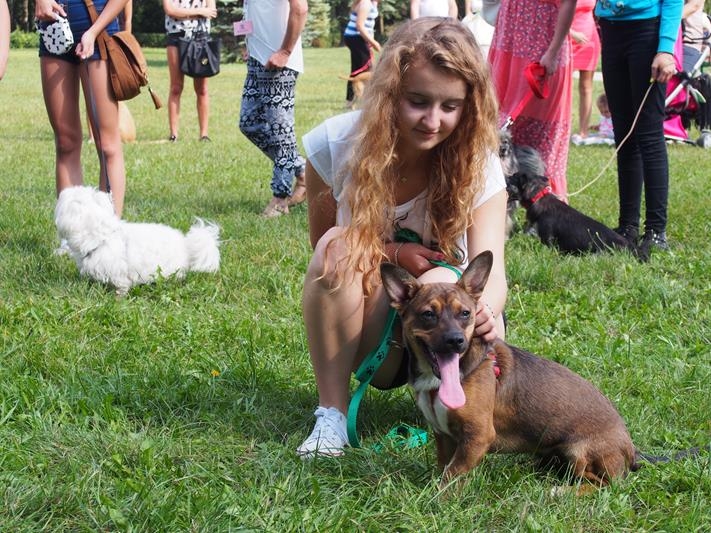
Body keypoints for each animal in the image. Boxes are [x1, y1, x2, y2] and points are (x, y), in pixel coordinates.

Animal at [381, 251, 639, 485]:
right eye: (428, 314)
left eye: (465, 313)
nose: (456, 341)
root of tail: (631, 450)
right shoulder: (443, 436)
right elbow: (444, 467)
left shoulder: (478, 437)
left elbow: (451, 476)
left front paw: (439, 499)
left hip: (579, 453)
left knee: (600, 485)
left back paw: (560, 492)